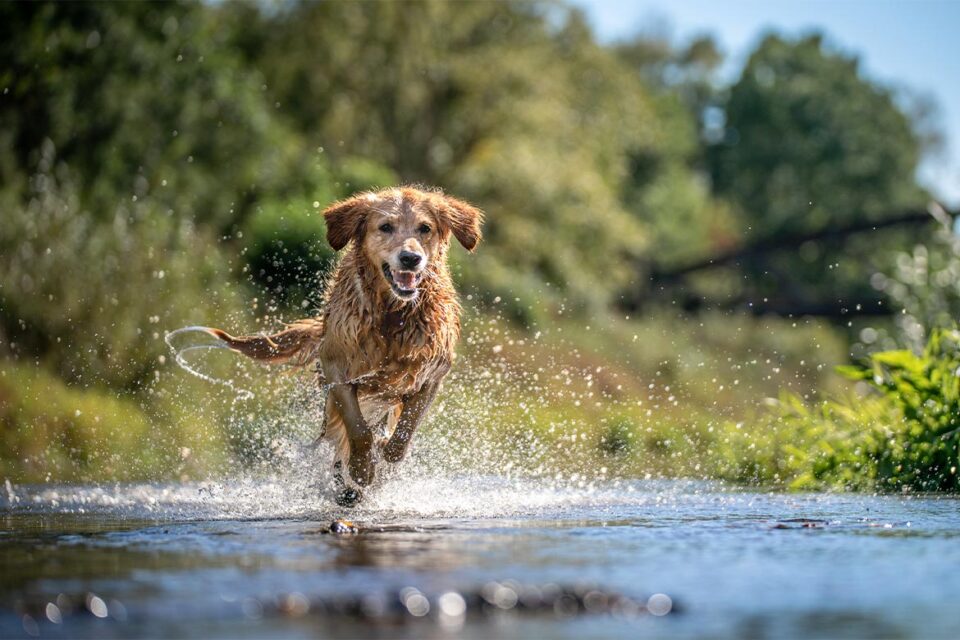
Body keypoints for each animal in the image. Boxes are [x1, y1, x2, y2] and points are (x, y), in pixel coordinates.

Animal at [207, 186, 484, 504]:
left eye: (425, 228)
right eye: (385, 227)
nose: (410, 258)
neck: (393, 315)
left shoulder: (432, 375)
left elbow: (404, 432)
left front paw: (384, 456)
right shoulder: (336, 370)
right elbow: (358, 429)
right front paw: (362, 469)